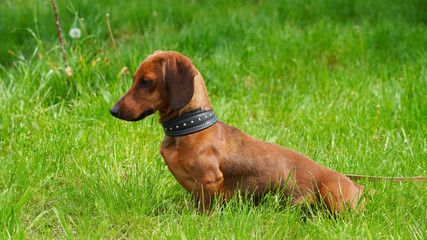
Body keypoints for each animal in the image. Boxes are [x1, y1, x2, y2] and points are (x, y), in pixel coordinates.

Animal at [110, 50, 368, 214]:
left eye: (146, 82)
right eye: (134, 79)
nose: (113, 110)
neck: (189, 127)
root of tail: (359, 188)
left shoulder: (210, 181)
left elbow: (204, 211)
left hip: (330, 194)